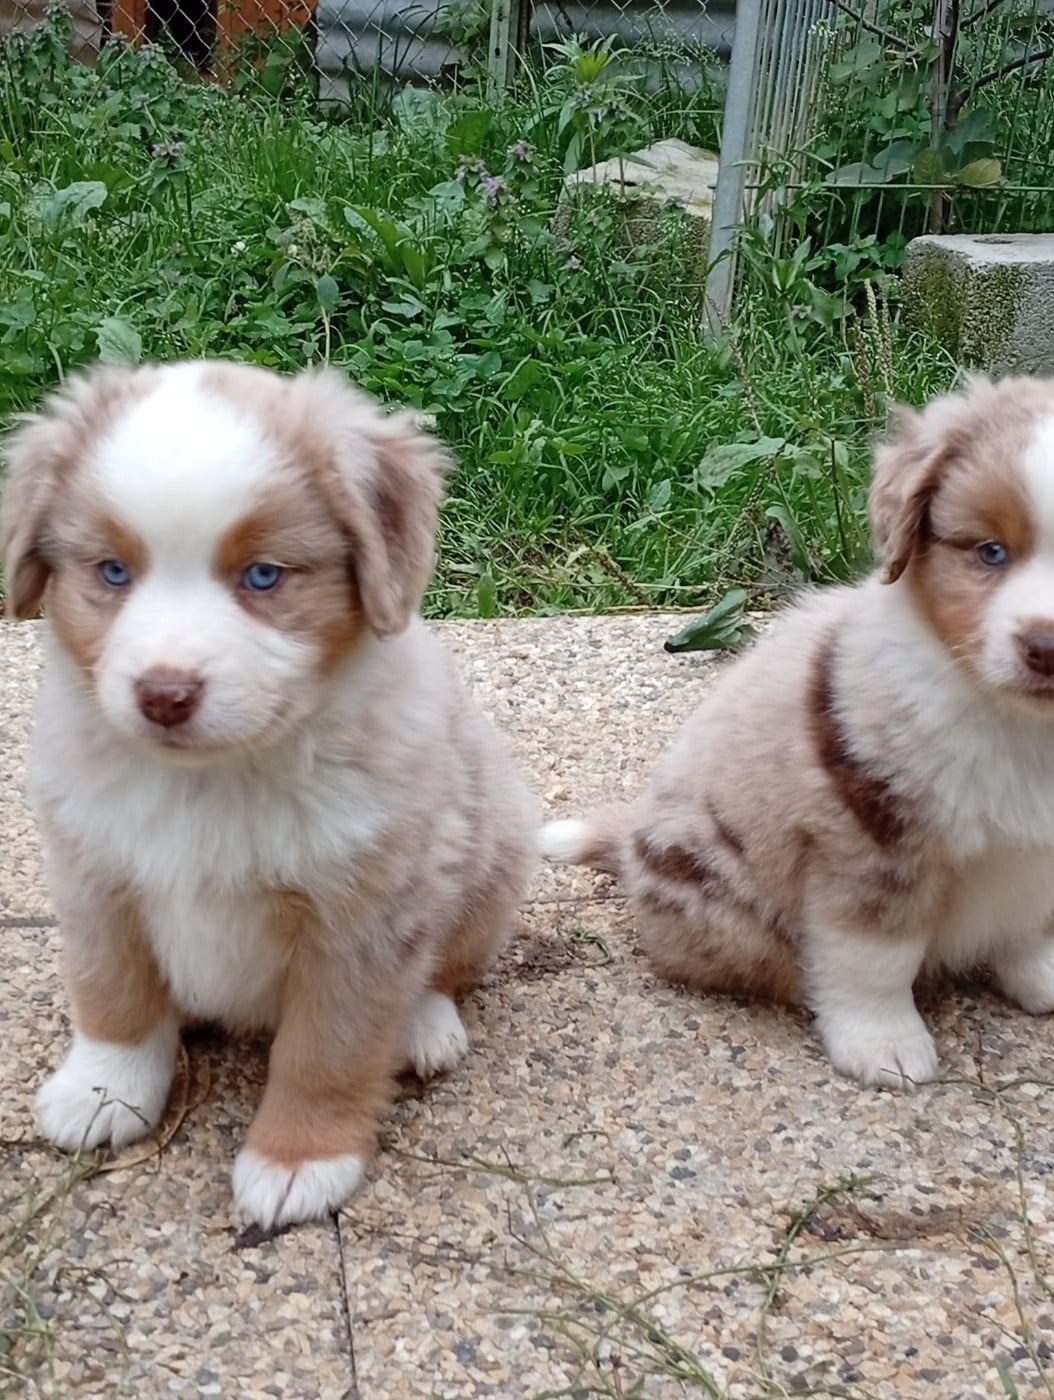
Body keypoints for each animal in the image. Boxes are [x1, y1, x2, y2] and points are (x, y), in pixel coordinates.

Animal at [0, 360, 537, 1229]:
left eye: (263, 576)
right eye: (112, 572)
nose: (164, 695)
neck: (211, 781)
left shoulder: (362, 922)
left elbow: (327, 1051)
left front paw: (299, 1160)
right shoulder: (94, 874)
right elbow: (114, 994)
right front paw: (104, 1089)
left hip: (493, 850)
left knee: (447, 969)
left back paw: (422, 1027)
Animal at [544, 375, 1054, 1089]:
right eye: (991, 552)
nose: (1047, 648)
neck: (1023, 725)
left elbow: (1032, 926)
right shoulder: (870, 837)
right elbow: (876, 957)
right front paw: (883, 1045)